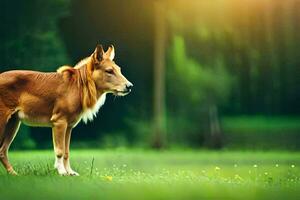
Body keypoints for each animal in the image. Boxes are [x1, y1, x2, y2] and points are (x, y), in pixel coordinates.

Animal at [0, 45, 132, 175]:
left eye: (119, 70)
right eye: (109, 71)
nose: (129, 86)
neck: (78, 87)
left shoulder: (69, 126)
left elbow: (66, 151)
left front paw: (69, 172)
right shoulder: (59, 122)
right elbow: (60, 150)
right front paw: (62, 171)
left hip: (13, 123)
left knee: (2, 150)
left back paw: (13, 173)